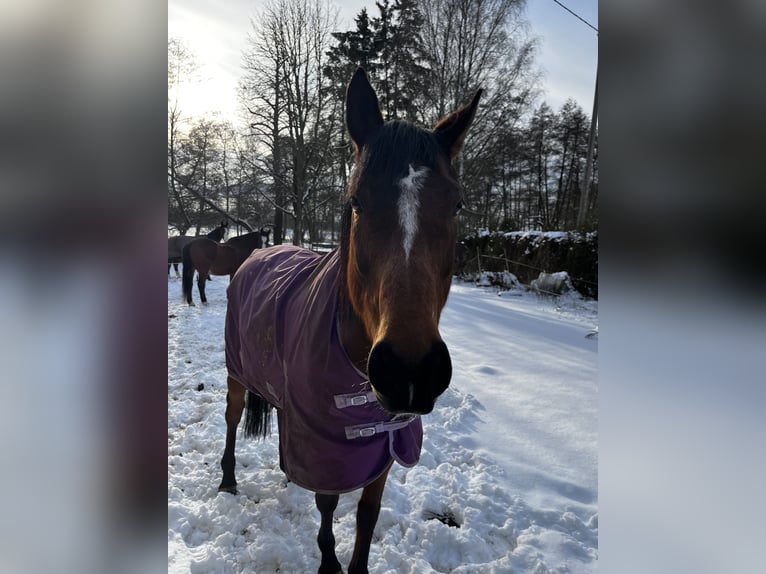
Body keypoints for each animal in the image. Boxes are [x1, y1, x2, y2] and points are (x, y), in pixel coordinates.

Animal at [217, 68, 480, 574]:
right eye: (356, 201)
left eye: (457, 204)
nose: (410, 372)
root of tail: (257, 251)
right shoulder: (328, 445)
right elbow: (328, 504)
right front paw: (328, 562)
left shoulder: (385, 445)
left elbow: (367, 515)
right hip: (236, 373)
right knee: (232, 417)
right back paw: (227, 480)